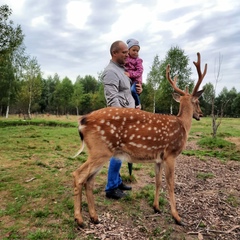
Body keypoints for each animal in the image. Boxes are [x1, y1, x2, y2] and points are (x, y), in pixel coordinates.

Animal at [72, 52, 207, 227]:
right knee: (78, 175)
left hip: (100, 152)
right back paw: (79, 219)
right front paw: (177, 217)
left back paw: (94, 217)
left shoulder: (158, 158)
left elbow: (158, 181)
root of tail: (83, 121)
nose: (201, 114)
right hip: (100, 150)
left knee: (89, 180)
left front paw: (156, 208)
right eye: (197, 101)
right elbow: (171, 184)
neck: (183, 124)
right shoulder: (170, 153)